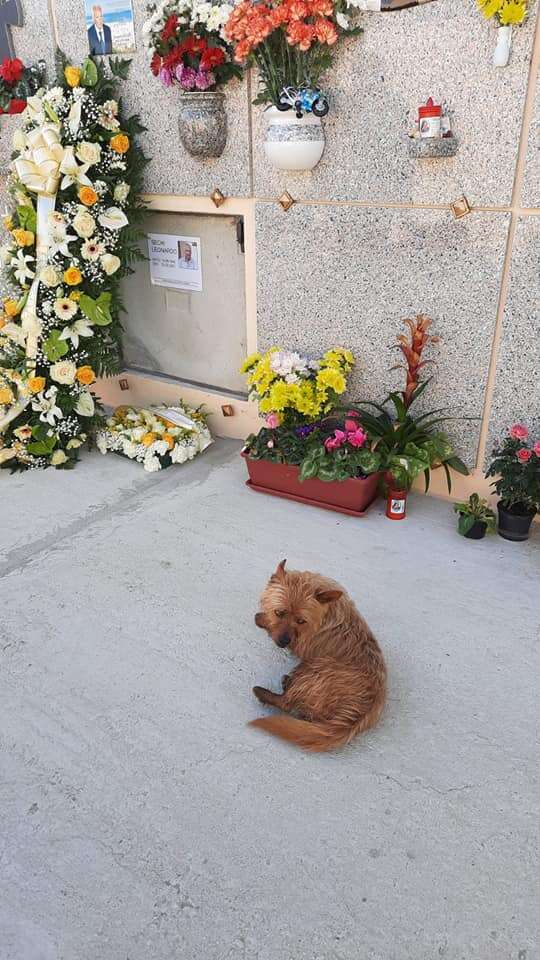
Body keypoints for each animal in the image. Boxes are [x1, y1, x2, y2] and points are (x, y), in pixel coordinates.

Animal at [251, 560, 386, 752]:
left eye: (301, 621)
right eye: (279, 612)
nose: (283, 642)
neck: (326, 614)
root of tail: (358, 714)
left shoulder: (300, 644)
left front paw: (262, 619)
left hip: (315, 667)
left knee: (287, 704)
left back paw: (265, 692)